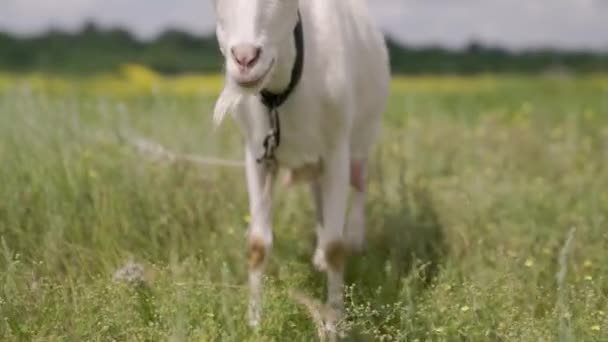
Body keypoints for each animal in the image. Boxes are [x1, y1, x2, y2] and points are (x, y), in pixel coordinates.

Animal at [209, 0, 390, 332]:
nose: (245, 58)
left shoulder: (337, 149)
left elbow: (335, 247)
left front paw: (334, 324)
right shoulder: (257, 154)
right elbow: (257, 244)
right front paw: (254, 322)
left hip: (363, 135)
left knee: (360, 180)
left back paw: (356, 237)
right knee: (320, 194)